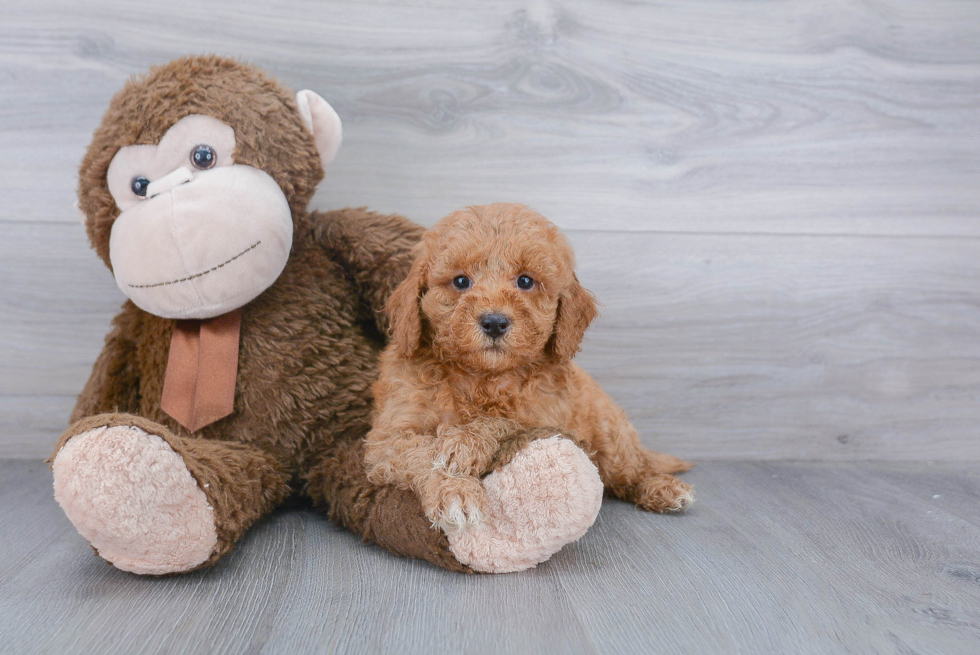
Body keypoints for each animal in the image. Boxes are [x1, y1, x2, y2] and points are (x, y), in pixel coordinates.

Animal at [364, 205, 692, 532]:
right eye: (460, 281)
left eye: (525, 281)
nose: (494, 322)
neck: (481, 377)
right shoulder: (387, 438)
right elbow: (421, 454)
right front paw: (454, 490)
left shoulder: (542, 417)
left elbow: (502, 421)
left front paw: (464, 444)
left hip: (611, 434)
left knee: (631, 470)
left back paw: (663, 489)